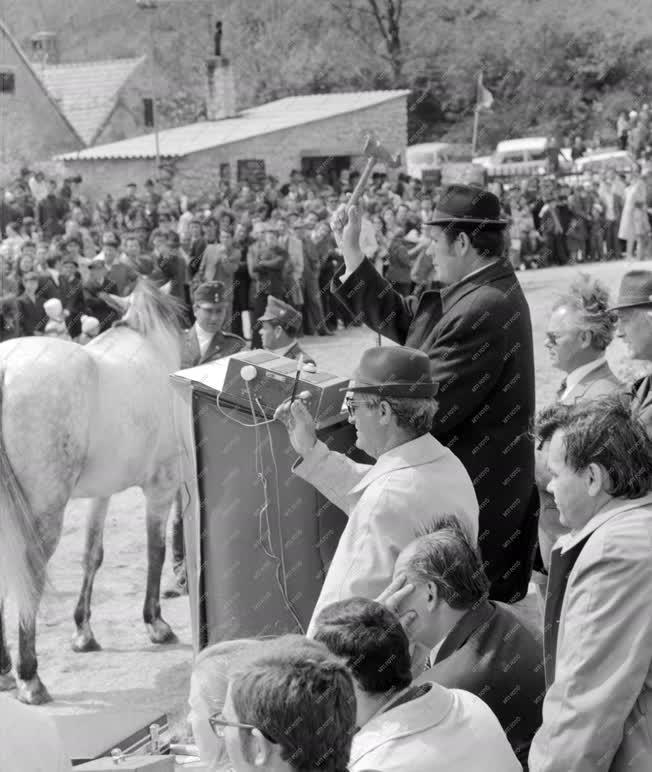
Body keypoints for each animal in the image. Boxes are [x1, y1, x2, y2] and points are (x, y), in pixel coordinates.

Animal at [0, 280, 185, 704]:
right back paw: (29, 676)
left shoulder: (102, 493)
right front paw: (155, 623)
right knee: (31, 575)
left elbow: (92, 555)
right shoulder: (162, 486)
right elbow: (156, 550)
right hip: (43, 515)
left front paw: (83, 632)